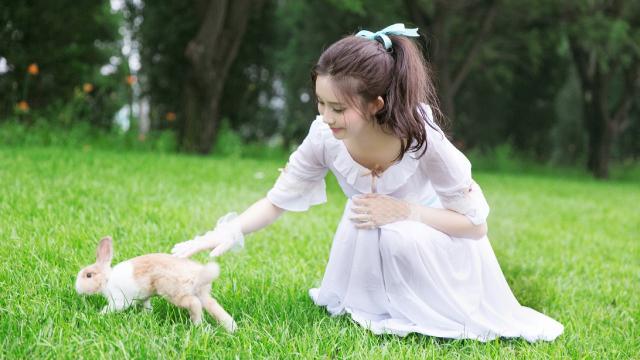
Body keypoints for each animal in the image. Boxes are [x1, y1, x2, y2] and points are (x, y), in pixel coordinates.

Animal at [75, 236, 235, 332]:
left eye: (88, 275)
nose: (77, 288)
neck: (106, 279)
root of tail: (199, 275)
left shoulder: (118, 299)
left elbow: (112, 307)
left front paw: (100, 315)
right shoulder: (144, 297)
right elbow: (146, 305)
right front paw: (146, 315)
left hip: (174, 292)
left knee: (194, 303)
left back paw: (196, 324)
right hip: (201, 293)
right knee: (213, 306)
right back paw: (232, 327)